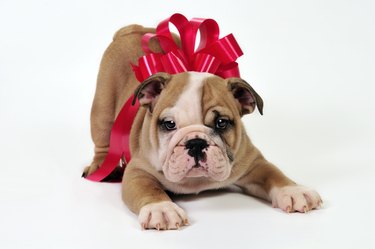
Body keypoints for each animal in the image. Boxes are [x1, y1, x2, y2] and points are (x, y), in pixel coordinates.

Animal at [84, 24, 324, 230]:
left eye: (221, 123)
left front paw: (294, 191)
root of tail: (135, 29)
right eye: (169, 124)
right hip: (103, 107)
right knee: (103, 140)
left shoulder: (254, 163)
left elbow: (274, 174)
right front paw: (161, 209)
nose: (196, 142)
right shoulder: (139, 171)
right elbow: (148, 189)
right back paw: (101, 167)